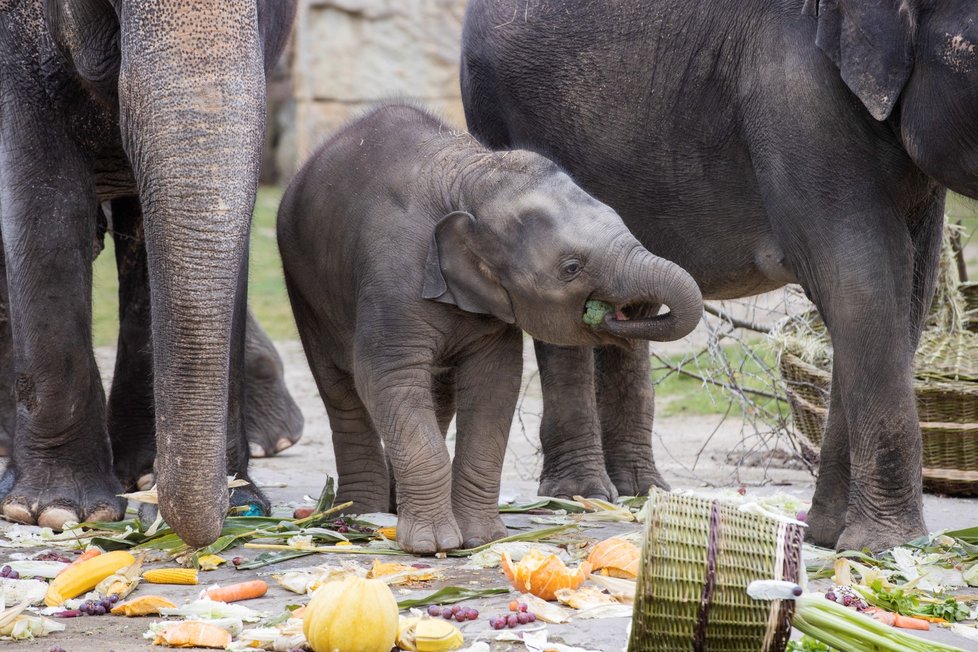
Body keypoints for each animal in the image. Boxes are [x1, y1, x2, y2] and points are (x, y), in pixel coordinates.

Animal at [274, 104, 700, 552]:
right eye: (571, 268)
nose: (626, 310)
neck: (472, 177)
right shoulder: (392, 277)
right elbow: (387, 377)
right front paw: (434, 545)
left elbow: (495, 384)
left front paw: (482, 539)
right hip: (305, 288)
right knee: (340, 391)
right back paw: (359, 516)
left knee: (436, 393)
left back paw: (387, 508)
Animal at [462, 0, 972, 552]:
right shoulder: (794, 87)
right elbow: (861, 281)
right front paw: (885, 547)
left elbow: (909, 291)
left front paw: (829, 535)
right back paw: (582, 494)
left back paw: (640, 489)